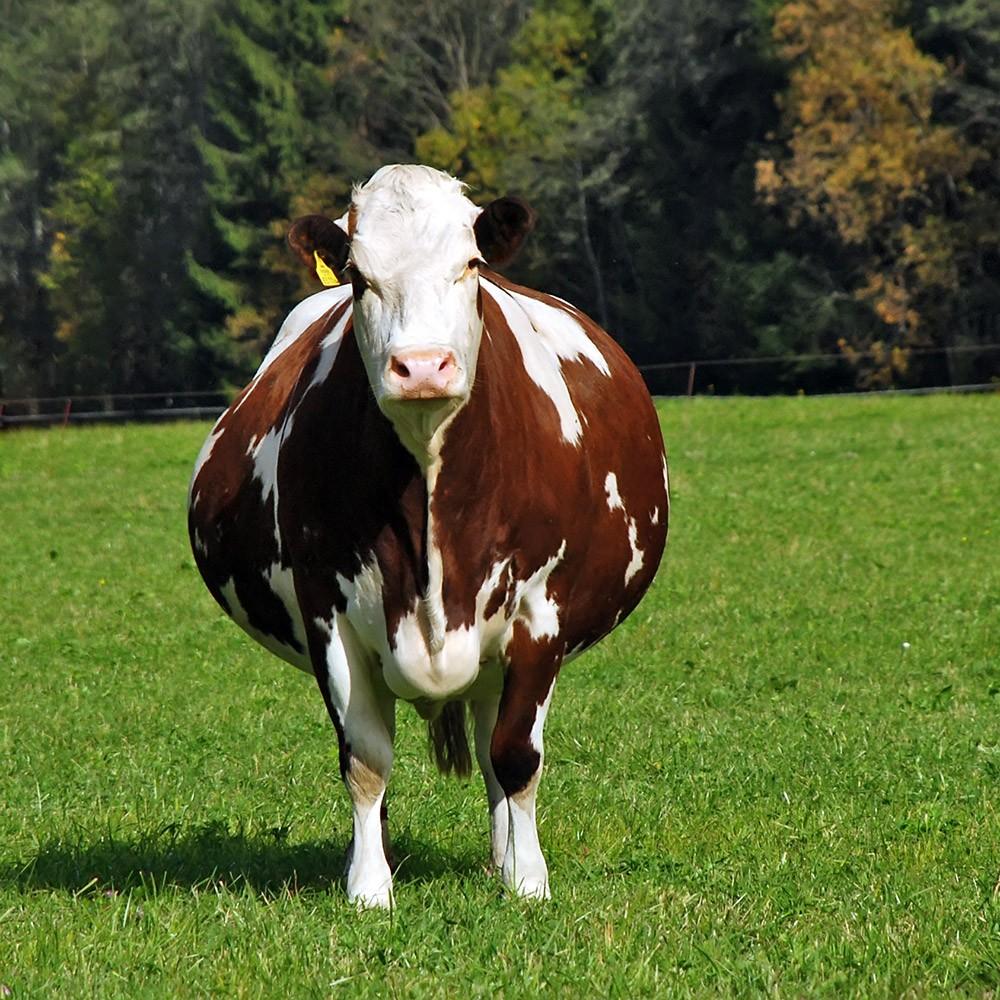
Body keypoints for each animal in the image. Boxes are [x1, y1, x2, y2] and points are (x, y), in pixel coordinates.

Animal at [189, 164, 672, 908]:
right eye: (359, 277)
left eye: (469, 263)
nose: (420, 367)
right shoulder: (327, 609)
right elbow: (364, 758)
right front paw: (368, 887)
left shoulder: (540, 611)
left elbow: (515, 755)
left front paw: (528, 881)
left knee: (494, 749)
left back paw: (504, 857)